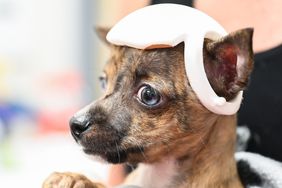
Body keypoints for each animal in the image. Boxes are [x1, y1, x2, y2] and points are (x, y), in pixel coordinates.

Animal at [43, 26, 254, 188]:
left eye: (148, 95)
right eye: (103, 81)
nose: (74, 125)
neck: (155, 176)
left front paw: (81, 181)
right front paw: (71, 178)